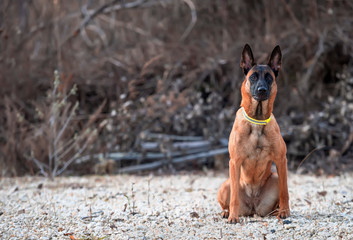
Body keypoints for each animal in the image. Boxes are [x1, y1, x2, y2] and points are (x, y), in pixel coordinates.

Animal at [216, 43, 290, 223]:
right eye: (253, 77)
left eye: (269, 77)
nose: (262, 90)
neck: (257, 120)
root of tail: (253, 207)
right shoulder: (235, 162)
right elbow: (234, 197)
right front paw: (233, 217)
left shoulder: (281, 160)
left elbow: (285, 191)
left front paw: (285, 212)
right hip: (225, 185)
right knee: (228, 200)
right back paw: (227, 212)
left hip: (275, 177)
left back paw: (277, 212)